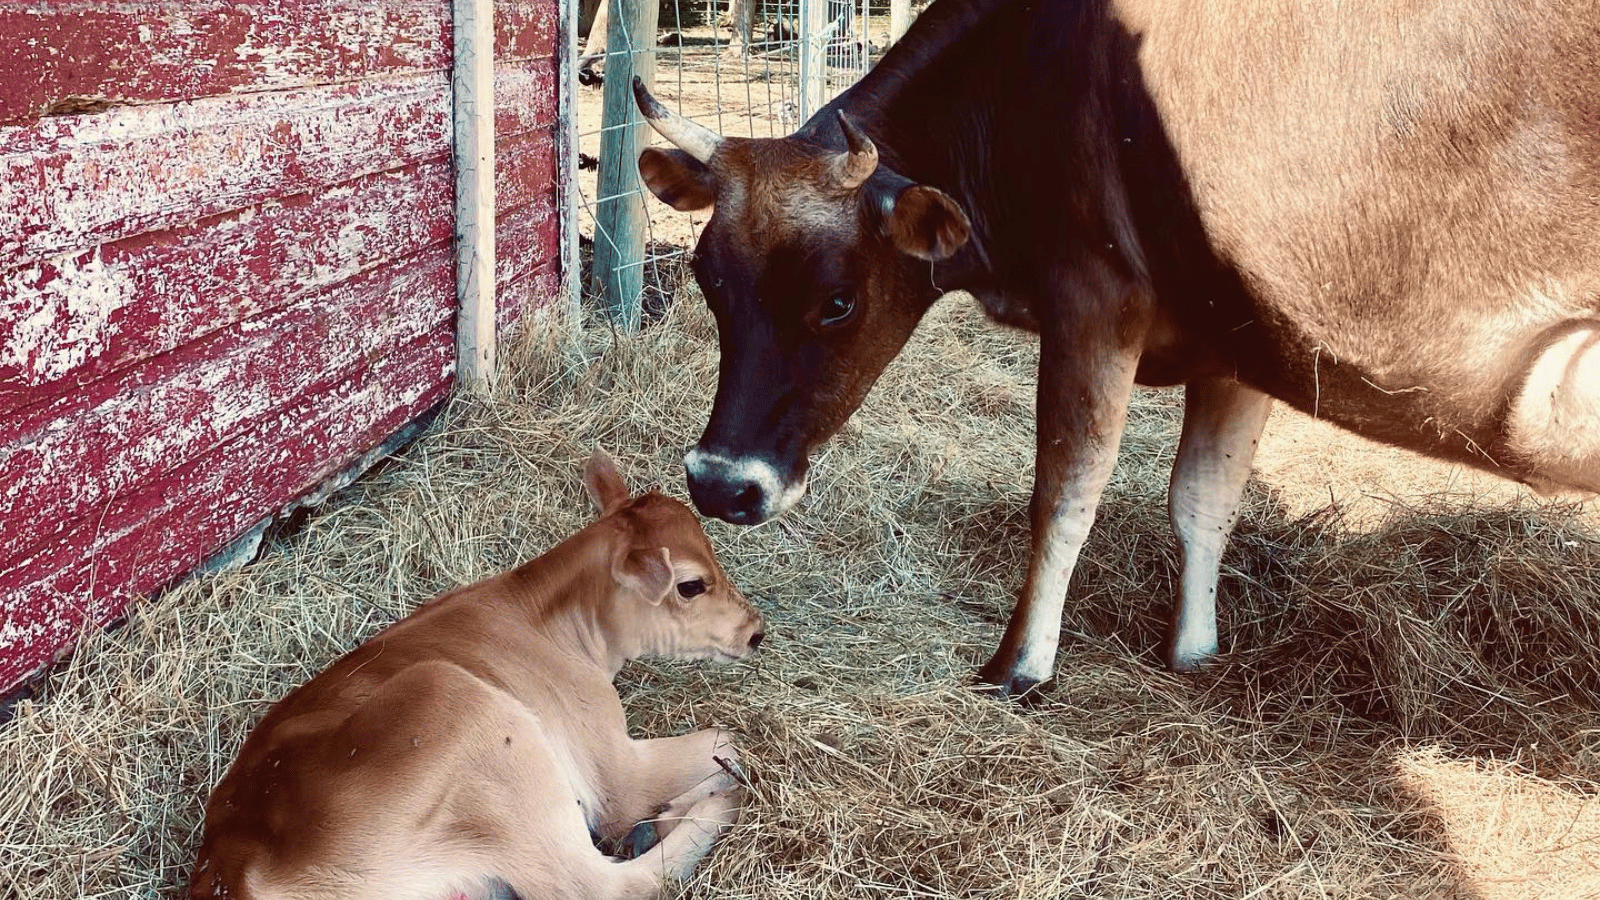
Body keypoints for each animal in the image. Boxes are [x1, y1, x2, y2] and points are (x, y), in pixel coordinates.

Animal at [188, 451, 765, 900]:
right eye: (691, 585)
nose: (756, 631)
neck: (553, 622)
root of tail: (233, 873)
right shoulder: (613, 770)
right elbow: (726, 742)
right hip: (465, 712)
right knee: (607, 885)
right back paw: (715, 808)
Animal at [630, 0, 1600, 697]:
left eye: (838, 301)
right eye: (708, 278)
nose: (718, 484)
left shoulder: (1095, 298)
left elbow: (1064, 495)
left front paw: (1019, 665)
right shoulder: (1242, 338)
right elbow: (1204, 499)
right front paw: (1195, 650)